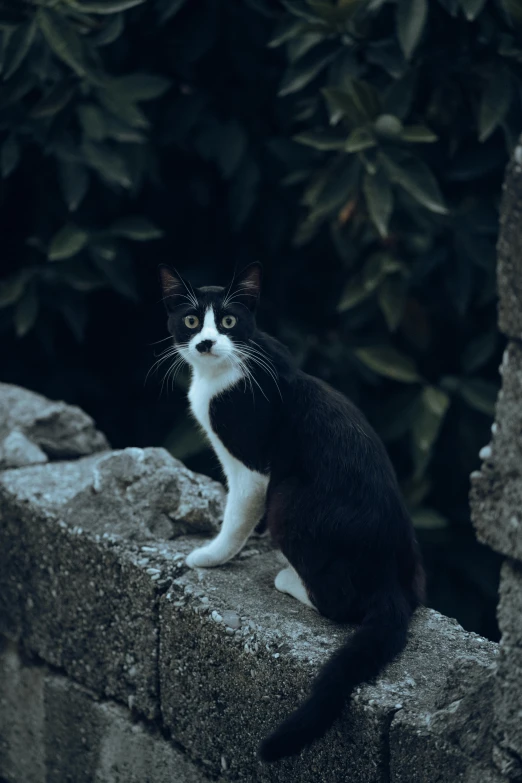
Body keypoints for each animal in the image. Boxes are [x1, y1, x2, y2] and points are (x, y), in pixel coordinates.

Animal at [158, 264, 422, 764]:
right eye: (190, 321)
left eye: (228, 322)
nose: (205, 343)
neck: (221, 374)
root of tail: (390, 581)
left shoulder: (254, 466)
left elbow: (237, 514)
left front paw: (209, 556)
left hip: (291, 497)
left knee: (339, 604)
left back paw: (289, 578)